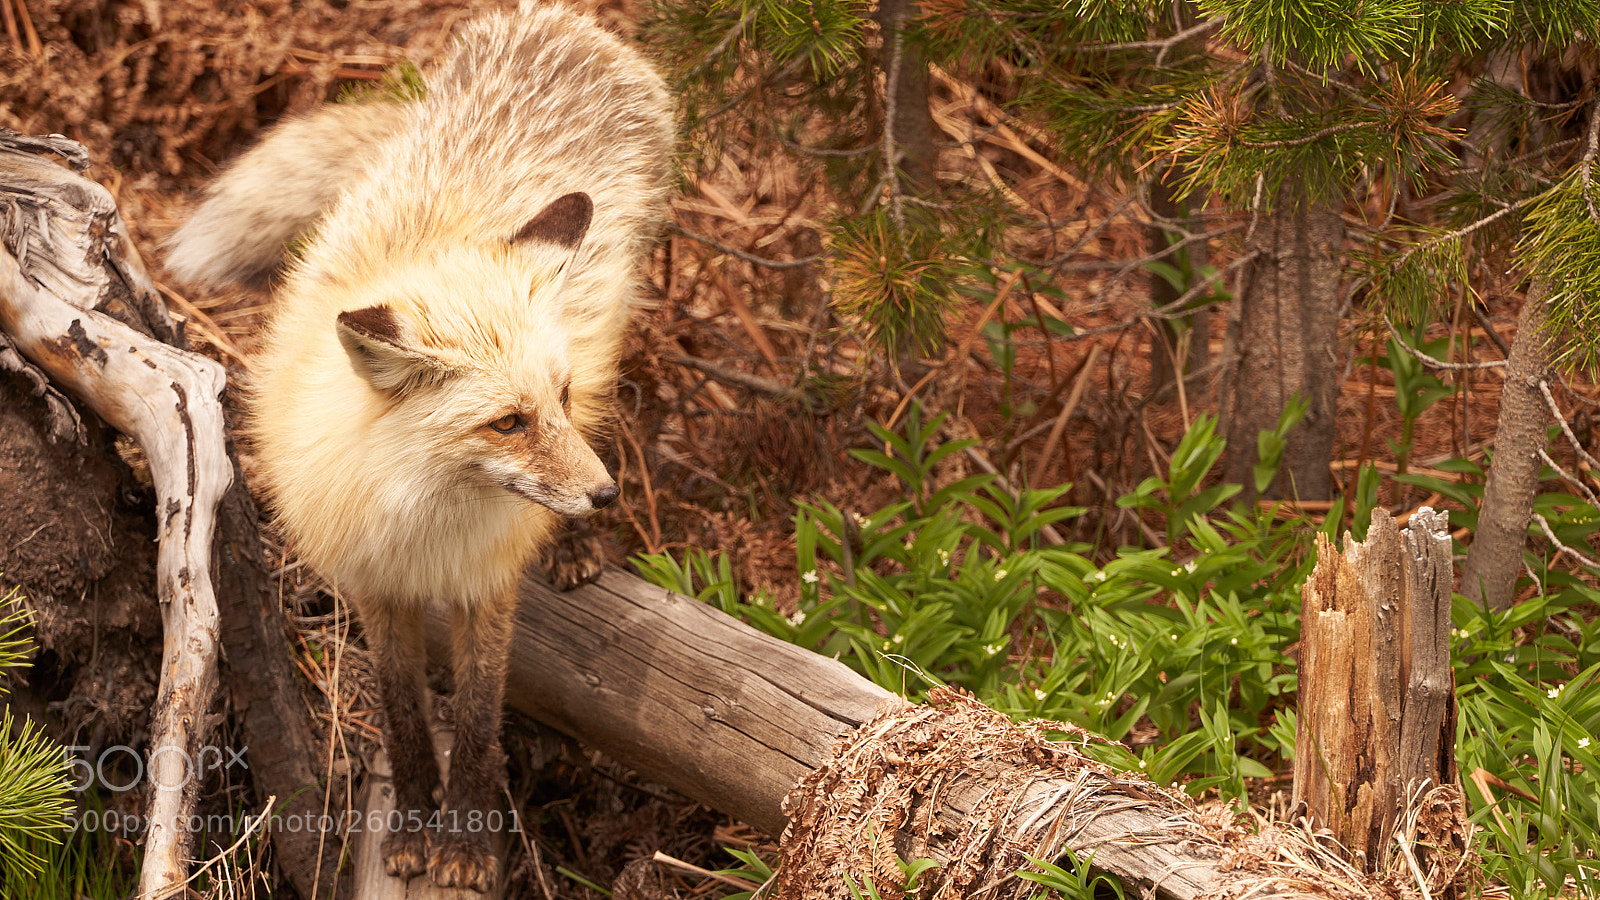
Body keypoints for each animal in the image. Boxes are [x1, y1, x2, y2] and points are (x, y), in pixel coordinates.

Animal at [167, 5, 674, 892]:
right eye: (507, 423)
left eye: (558, 400)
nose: (606, 495)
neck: (426, 516)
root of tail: (559, 23)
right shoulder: (374, 586)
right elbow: (404, 717)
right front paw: (410, 824)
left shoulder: (486, 591)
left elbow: (475, 724)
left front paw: (464, 843)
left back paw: (572, 547)